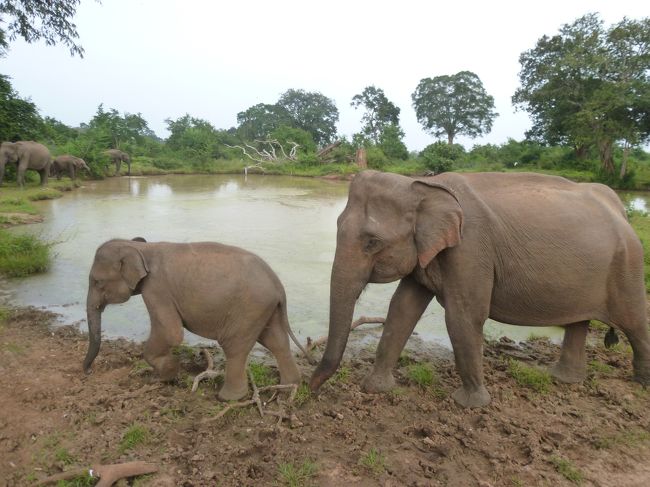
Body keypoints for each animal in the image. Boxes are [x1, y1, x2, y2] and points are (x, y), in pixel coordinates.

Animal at [83, 238, 312, 402]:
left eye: (97, 282)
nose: (88, 371)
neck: (140, 247)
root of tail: (279, 286)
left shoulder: (156, 290)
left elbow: (171, 333)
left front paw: (168, 374)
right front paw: (168, 374)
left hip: (250, 308)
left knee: (234, 347)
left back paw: (226, 398)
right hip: (265, 309)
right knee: (276, 342)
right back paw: (290, 387)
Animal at [310, 172, 648, 408]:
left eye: (372, 242)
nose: (310, 390)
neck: (424, 185)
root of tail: (619, 207)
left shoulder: (470, 249)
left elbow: (463, 316)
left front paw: (471, 405)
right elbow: (402, 309)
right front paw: (374, 389)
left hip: (627, 266)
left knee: (634, 322)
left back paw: (642, 384)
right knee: (578, 322)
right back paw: (564, 380)